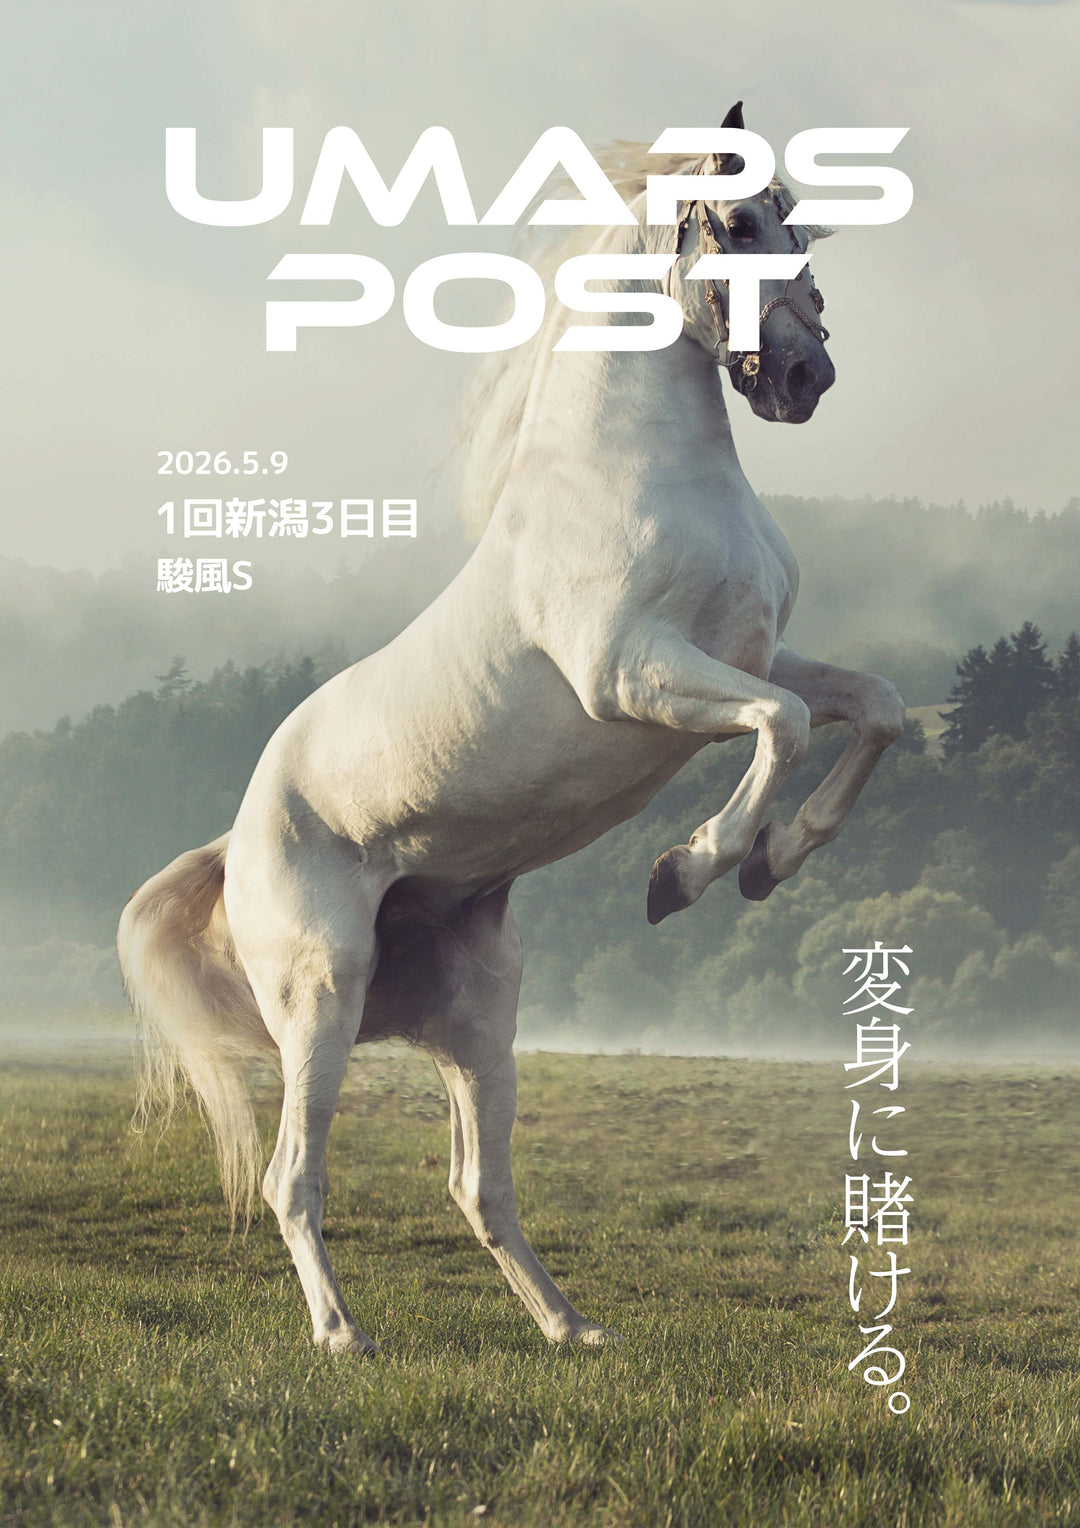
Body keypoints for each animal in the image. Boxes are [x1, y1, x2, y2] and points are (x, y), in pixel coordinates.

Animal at [118, 103, 905, 1355]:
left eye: (802, 228)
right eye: (736, 226)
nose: (803, 375)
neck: (635, 473)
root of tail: (235, 840)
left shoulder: (746, 659)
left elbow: (872, 708)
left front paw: (772, 862)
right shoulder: (636, 676)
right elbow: (782, 728)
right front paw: (691, 869)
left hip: (479, 1015)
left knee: (477, 1185)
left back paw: (571, 1328)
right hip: (321, 998)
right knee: (296, 1175)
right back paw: (344, 1335)